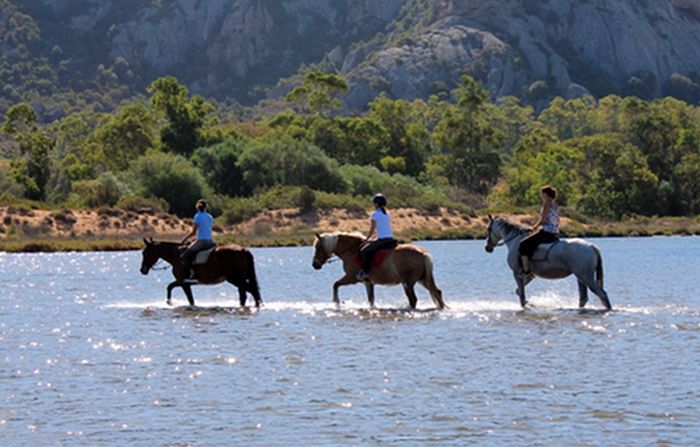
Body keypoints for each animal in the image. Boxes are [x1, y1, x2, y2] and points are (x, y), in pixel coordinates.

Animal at [310, 233, 442, 310]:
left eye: (318, 248)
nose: (315, 265)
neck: (351, 251)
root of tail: (423, 254)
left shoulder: (351, 278)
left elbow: (335, 284)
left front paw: (336, 302)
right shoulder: (368, 283)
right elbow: (371, 299)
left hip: (408, 283)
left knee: (413, 299)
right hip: (422, 280)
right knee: (437, 292)